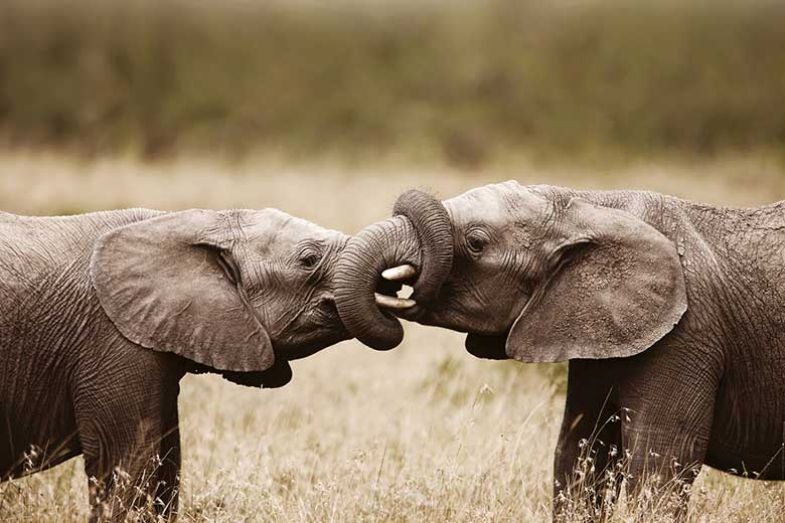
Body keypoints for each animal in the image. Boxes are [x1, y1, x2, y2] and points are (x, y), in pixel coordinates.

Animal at [334, 182, 785, 518]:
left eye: (476, 243)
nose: (395, 288)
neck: (588, 204)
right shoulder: (596, 328)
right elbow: (580, 455)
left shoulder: (686, 337)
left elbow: (658, 467)